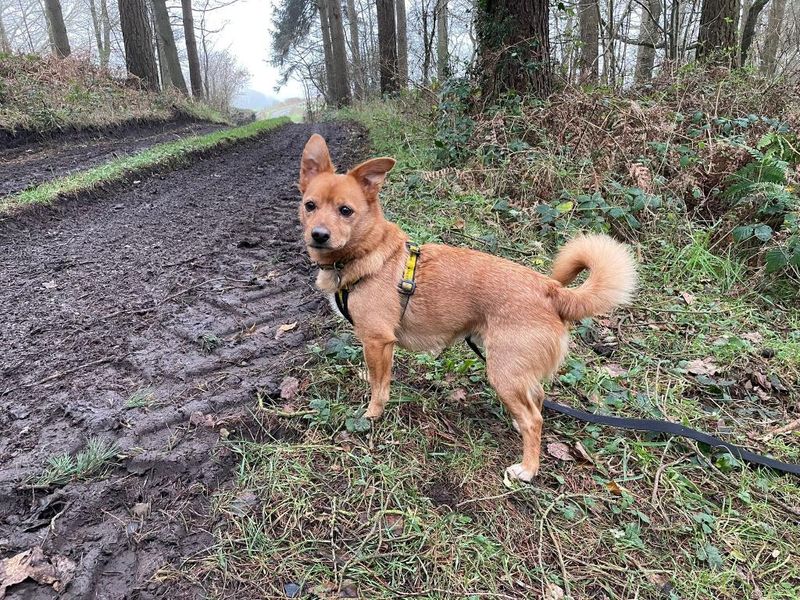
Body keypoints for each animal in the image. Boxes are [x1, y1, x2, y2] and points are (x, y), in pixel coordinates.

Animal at [296, 136, 636, 482]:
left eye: (346, 211)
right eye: (310, 206)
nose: (319, 235)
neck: (367, 252)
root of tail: (550, 290)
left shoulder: (378, 341)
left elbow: (379, 388)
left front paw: (372, 415)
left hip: (503, 371)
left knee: (535, 420)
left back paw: (528, 468)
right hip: (516, 369)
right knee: (537, 400)